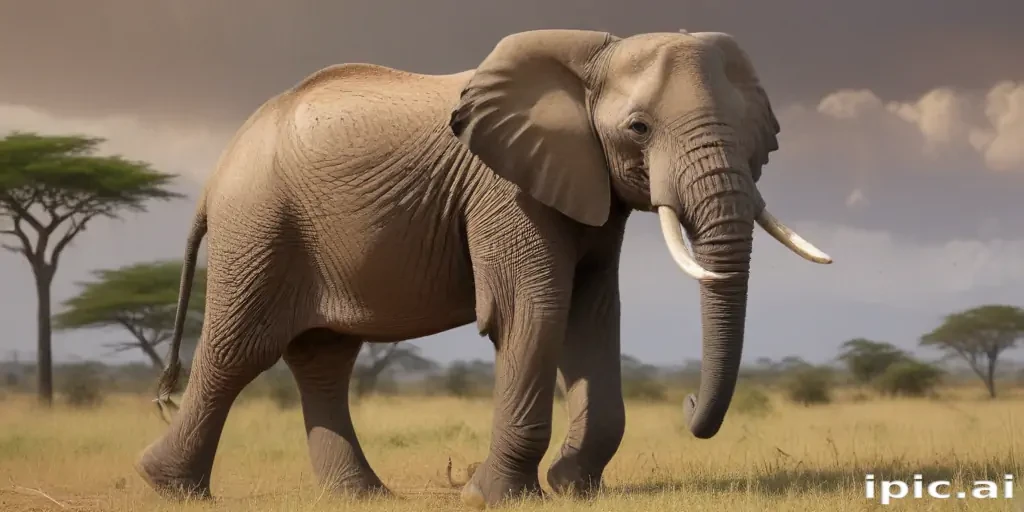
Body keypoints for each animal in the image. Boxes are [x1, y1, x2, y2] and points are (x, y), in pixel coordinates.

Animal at [135, 28, 832, 508]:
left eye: (755, 138)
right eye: (638, 128)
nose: (688, 401)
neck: (593, 56)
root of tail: (216, 175)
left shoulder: (588, 187)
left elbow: (593, 314)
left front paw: (573, 487)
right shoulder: (505, 189)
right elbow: (535, 309)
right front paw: (496, 497)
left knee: (324, 358)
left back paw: (363, 496)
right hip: (260, 226)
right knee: (239, 351)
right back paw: (167, 487)